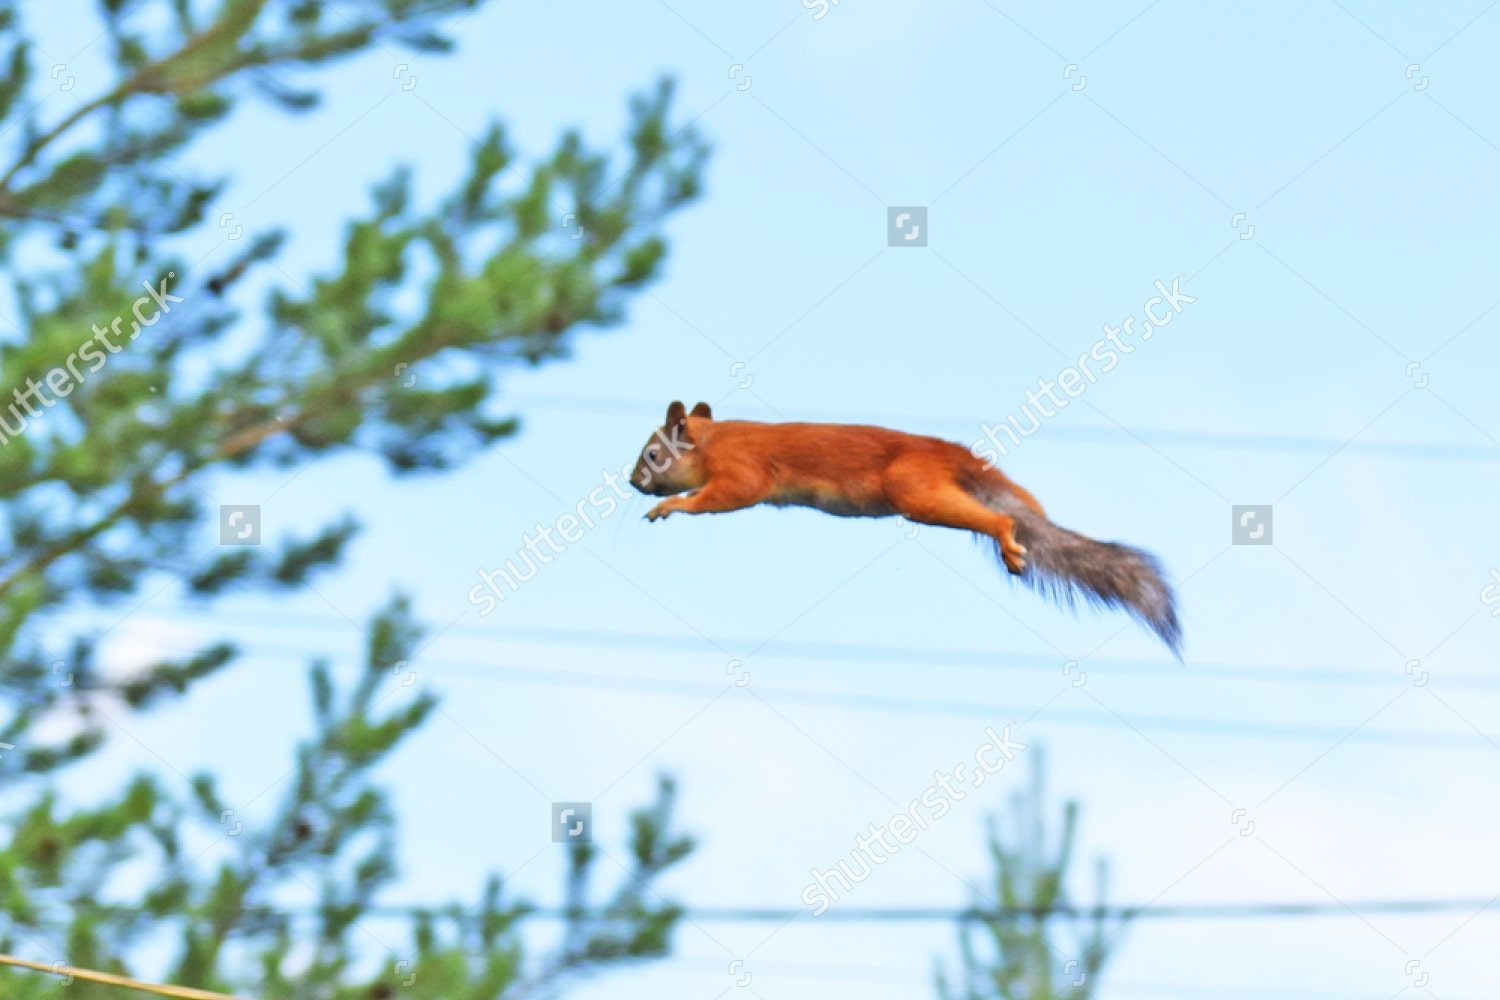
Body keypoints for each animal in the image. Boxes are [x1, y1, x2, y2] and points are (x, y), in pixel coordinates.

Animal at [631, 400, 1182, 656]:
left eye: (653, 455)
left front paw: (670, 506)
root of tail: (954, 456)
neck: (713, 442)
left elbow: (720, 497)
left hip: (916, 491)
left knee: (997, 518)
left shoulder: (742, 474)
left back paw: (1007, 539)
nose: (634, 481)